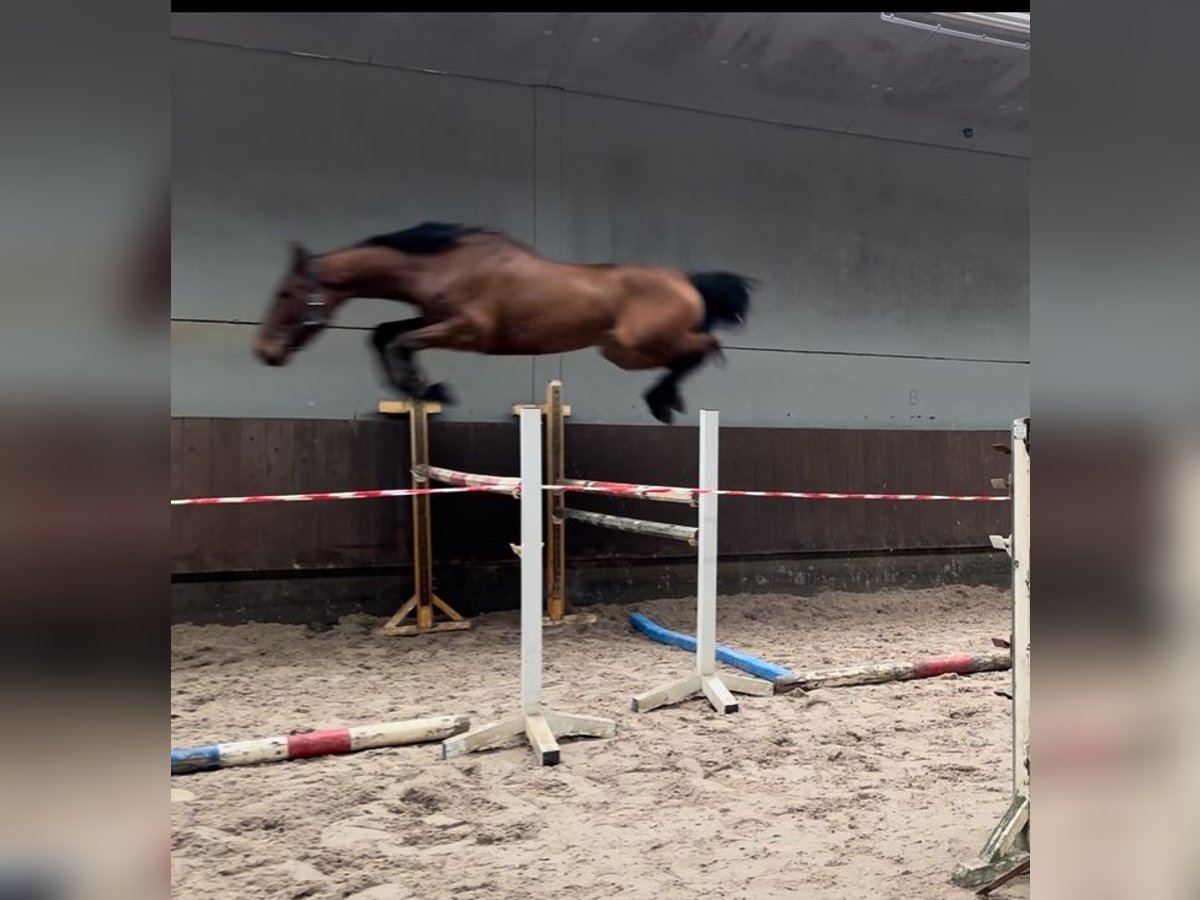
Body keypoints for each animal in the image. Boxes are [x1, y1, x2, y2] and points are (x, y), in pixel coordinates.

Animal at [256, 224, 753, 424]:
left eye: (285, 294)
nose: (264, 352)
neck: (442, 263)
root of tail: (686, 281)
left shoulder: (468, 331)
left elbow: (400, 342)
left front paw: (430, 389)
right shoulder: (433, 318)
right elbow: (384, 335)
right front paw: (420, 389)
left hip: (633, 345)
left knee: (706, 345)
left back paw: (662, 402)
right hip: (623, 351)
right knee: (700, 347)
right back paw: (663, 400)